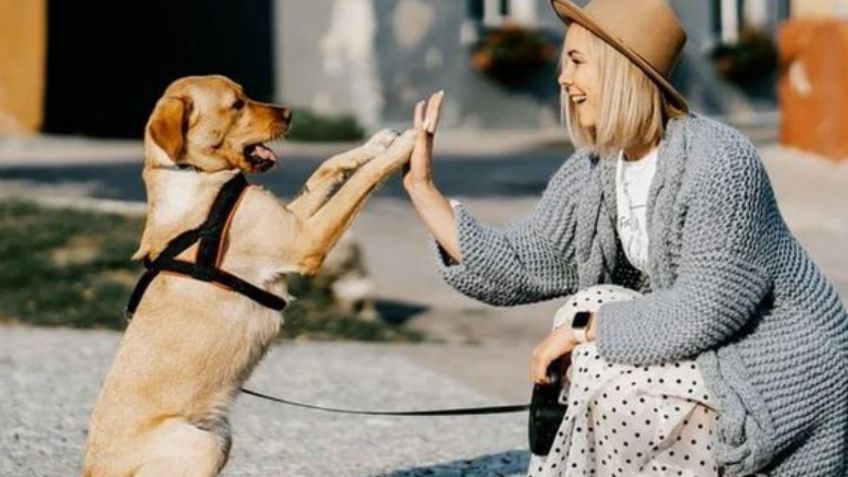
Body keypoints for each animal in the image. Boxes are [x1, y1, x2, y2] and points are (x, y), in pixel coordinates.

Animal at [82, 76, 414, 476]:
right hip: (204, 443)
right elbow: (361, 181)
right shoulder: (305, 240)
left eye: (245, 93)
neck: (193, 176)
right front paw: (409, 143)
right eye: (236, 104)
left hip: (221, 436)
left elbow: (327, 167)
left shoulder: (293, 221)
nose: (290, 113)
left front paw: (377, 143)